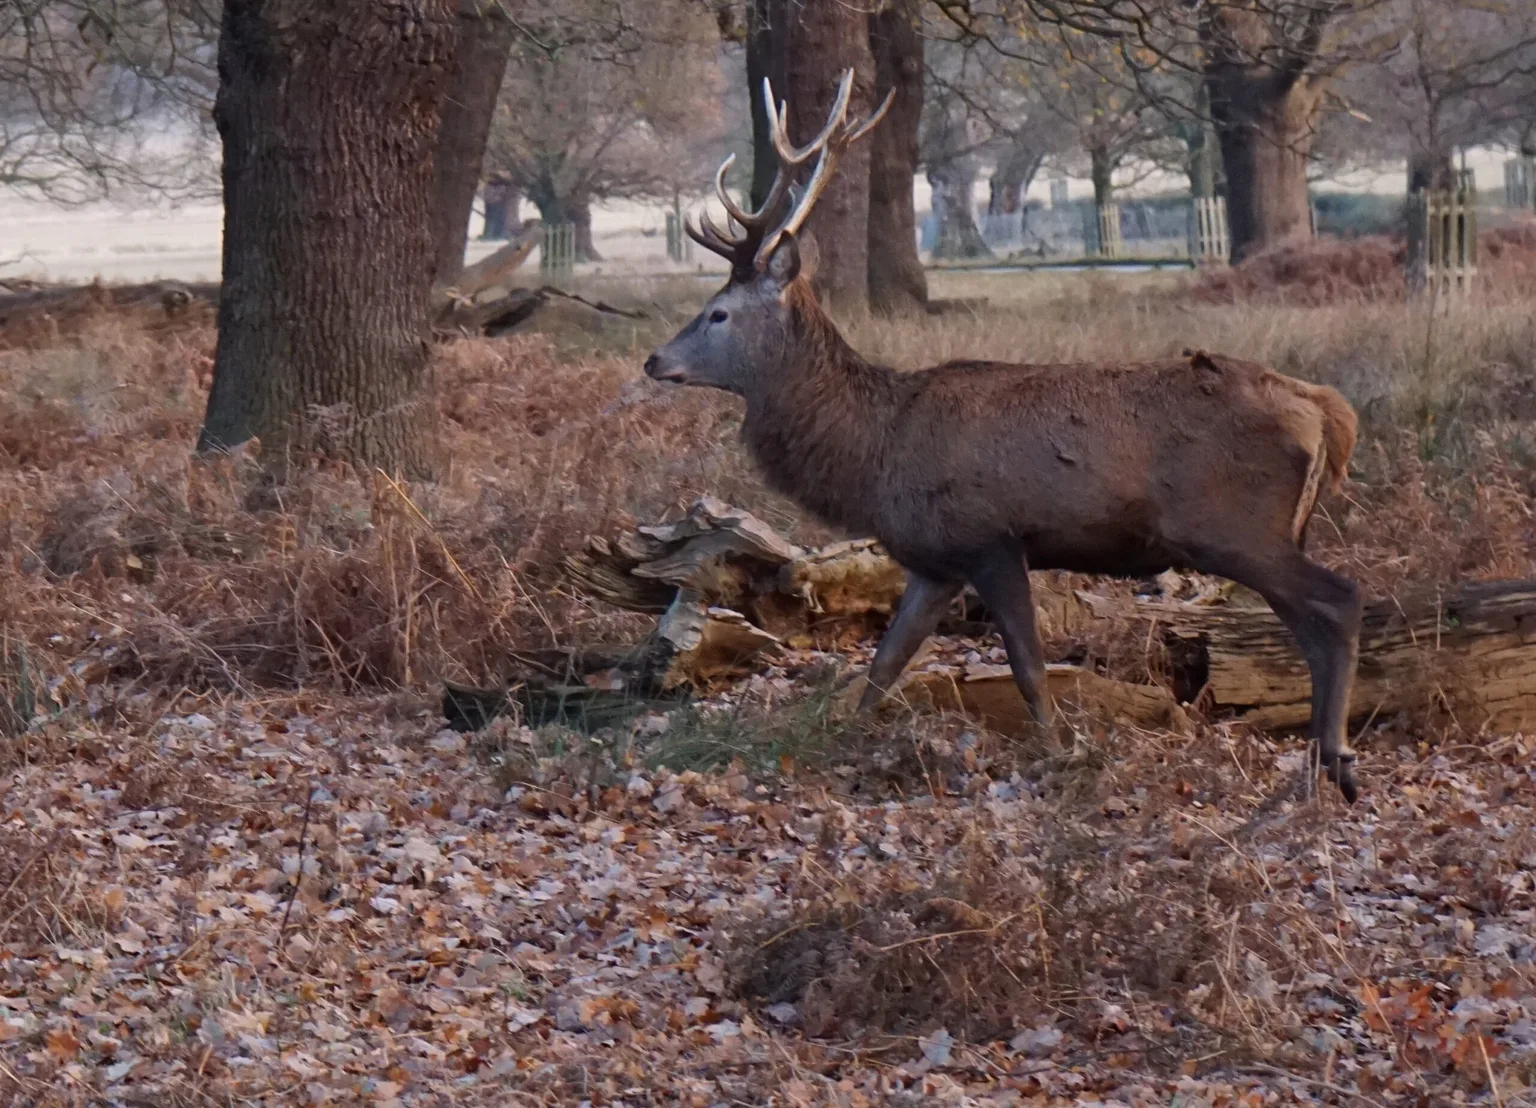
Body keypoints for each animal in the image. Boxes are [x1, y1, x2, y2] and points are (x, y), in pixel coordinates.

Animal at [643, 71, 1364, 802]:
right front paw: (839, 741)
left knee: (1340, 601)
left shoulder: (990, 538)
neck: (875, 453)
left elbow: (1028, 667)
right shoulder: (935, 561)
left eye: (718, 313)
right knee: (1309, 623)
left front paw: (1057, 754)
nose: (654, 360)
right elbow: (884, 663)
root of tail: (1326, 411)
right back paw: (1322, 755)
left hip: (1232, 526)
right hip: (1270, 530)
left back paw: (1335, 759)